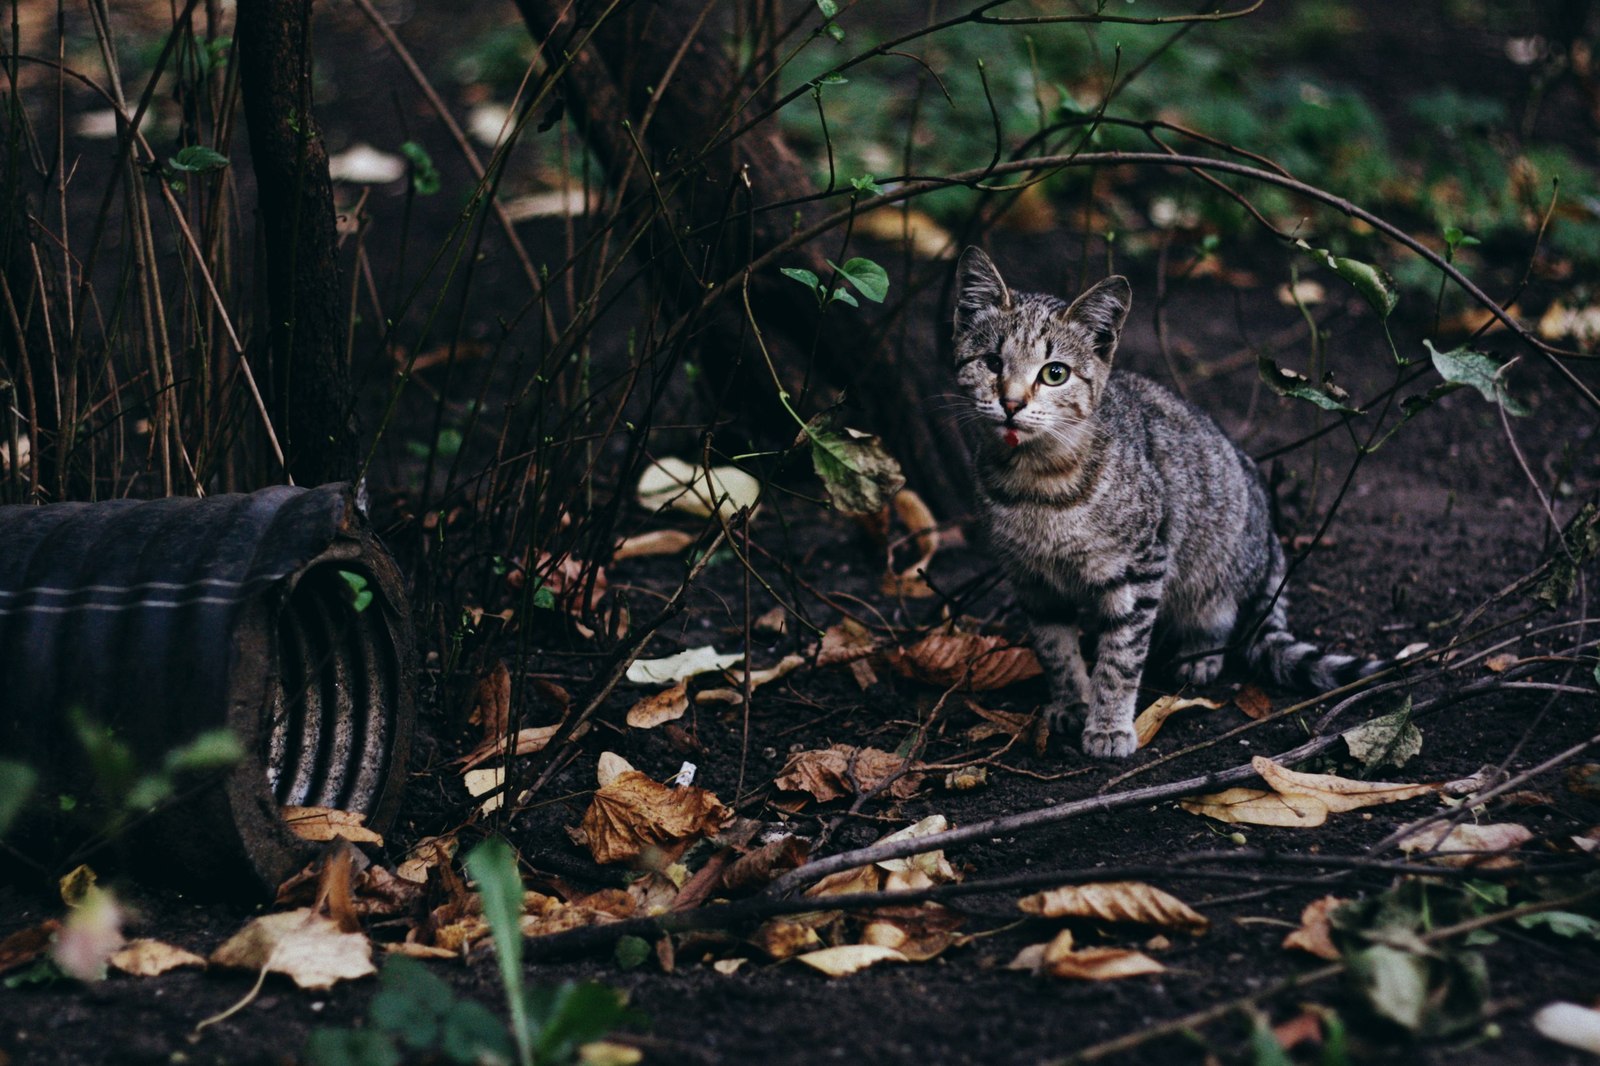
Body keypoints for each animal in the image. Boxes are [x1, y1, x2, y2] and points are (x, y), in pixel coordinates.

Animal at [940, 248, 1382, 755]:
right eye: (993, 362)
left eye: (1055, 373)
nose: (1011, 403)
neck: (1035, 483)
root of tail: (1270, 535)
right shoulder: (1031, 579)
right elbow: (1055, 649)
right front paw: (1073, 701)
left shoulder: (1142, 565)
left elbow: (1120, 658)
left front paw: (1108, 724)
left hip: (1214, 562)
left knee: (1219, 614)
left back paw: (1199, 654)